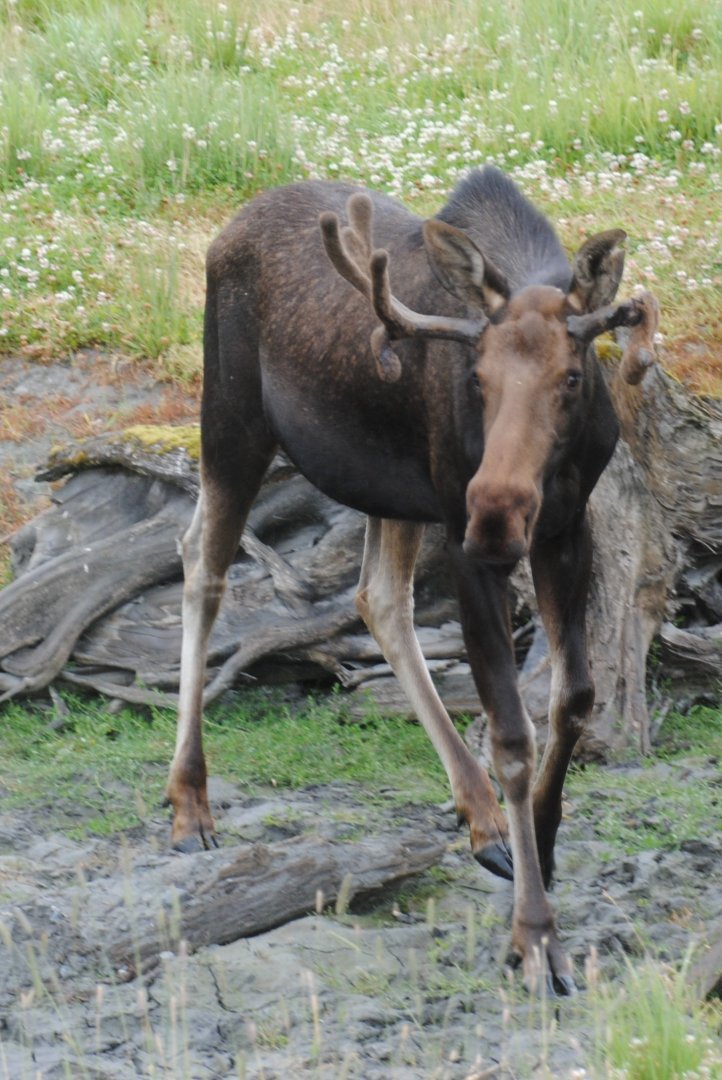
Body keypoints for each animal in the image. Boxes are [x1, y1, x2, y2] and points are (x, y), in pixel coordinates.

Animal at [165, 166, 658, 995]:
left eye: (570, 377)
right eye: (479, 376)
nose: (495, 508)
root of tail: (225, 229)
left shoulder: (566, 530)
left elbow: (575, 698)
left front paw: (542, 839)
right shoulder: (466, 541)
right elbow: (513, 733)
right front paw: (535, 938)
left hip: (389, 491)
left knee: (377, 598)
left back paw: (482, 818)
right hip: (231, 419)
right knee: (204, 563)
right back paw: (189, 800)